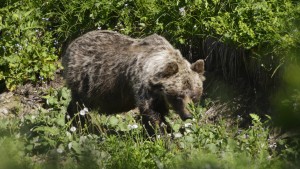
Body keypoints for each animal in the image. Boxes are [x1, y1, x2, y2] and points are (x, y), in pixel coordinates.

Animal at [62, 30, 205, 135]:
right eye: (178, 96)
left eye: (194, 96)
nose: (188, 115)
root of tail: (71, 44)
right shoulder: (143, 87)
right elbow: (152, 114)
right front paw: (161, 134)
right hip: (86, 80)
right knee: (79, 106)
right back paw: (77, 125)